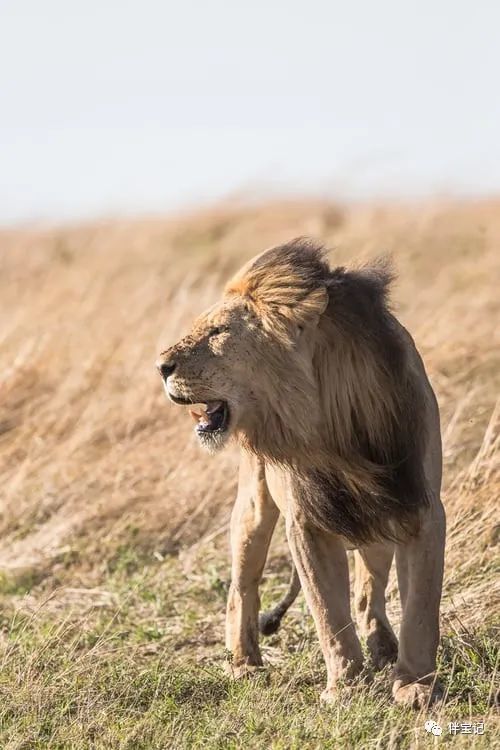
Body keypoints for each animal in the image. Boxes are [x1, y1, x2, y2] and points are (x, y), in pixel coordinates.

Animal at [156, 242, 446, 712]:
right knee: (242, 586)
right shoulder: (306, 522)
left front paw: (415, 686)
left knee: (368, 589)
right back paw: (244, 664)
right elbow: (329, 613)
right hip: (253, 506)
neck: (331, 424)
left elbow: (421, 606)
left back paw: (383, 645)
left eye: (217, 331)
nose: (160, 366)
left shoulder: (418, 506)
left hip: (378, 521)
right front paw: (345, 688)